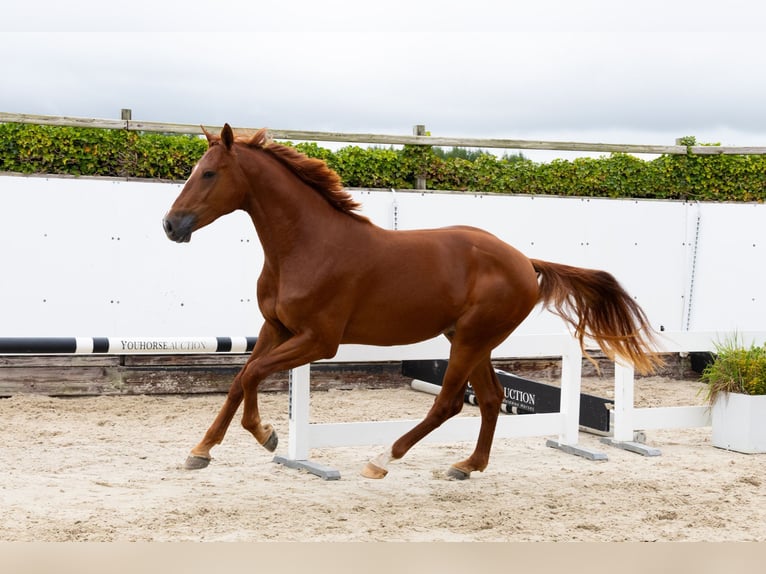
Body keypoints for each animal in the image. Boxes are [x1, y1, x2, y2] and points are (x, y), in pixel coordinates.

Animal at [162, 123, 661, 480]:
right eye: (193, 170)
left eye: (209, 173)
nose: (170, 225)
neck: (307, 246)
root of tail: (525, 261)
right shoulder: (276, 328)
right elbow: (239, 379)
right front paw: (200, 451)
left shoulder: (319, 340)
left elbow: (252, 374)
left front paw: (265, 434)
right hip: (470, 339)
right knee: (492, 398)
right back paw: (467, 466)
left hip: (471, 339)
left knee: (449, 403)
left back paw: (383, 458)